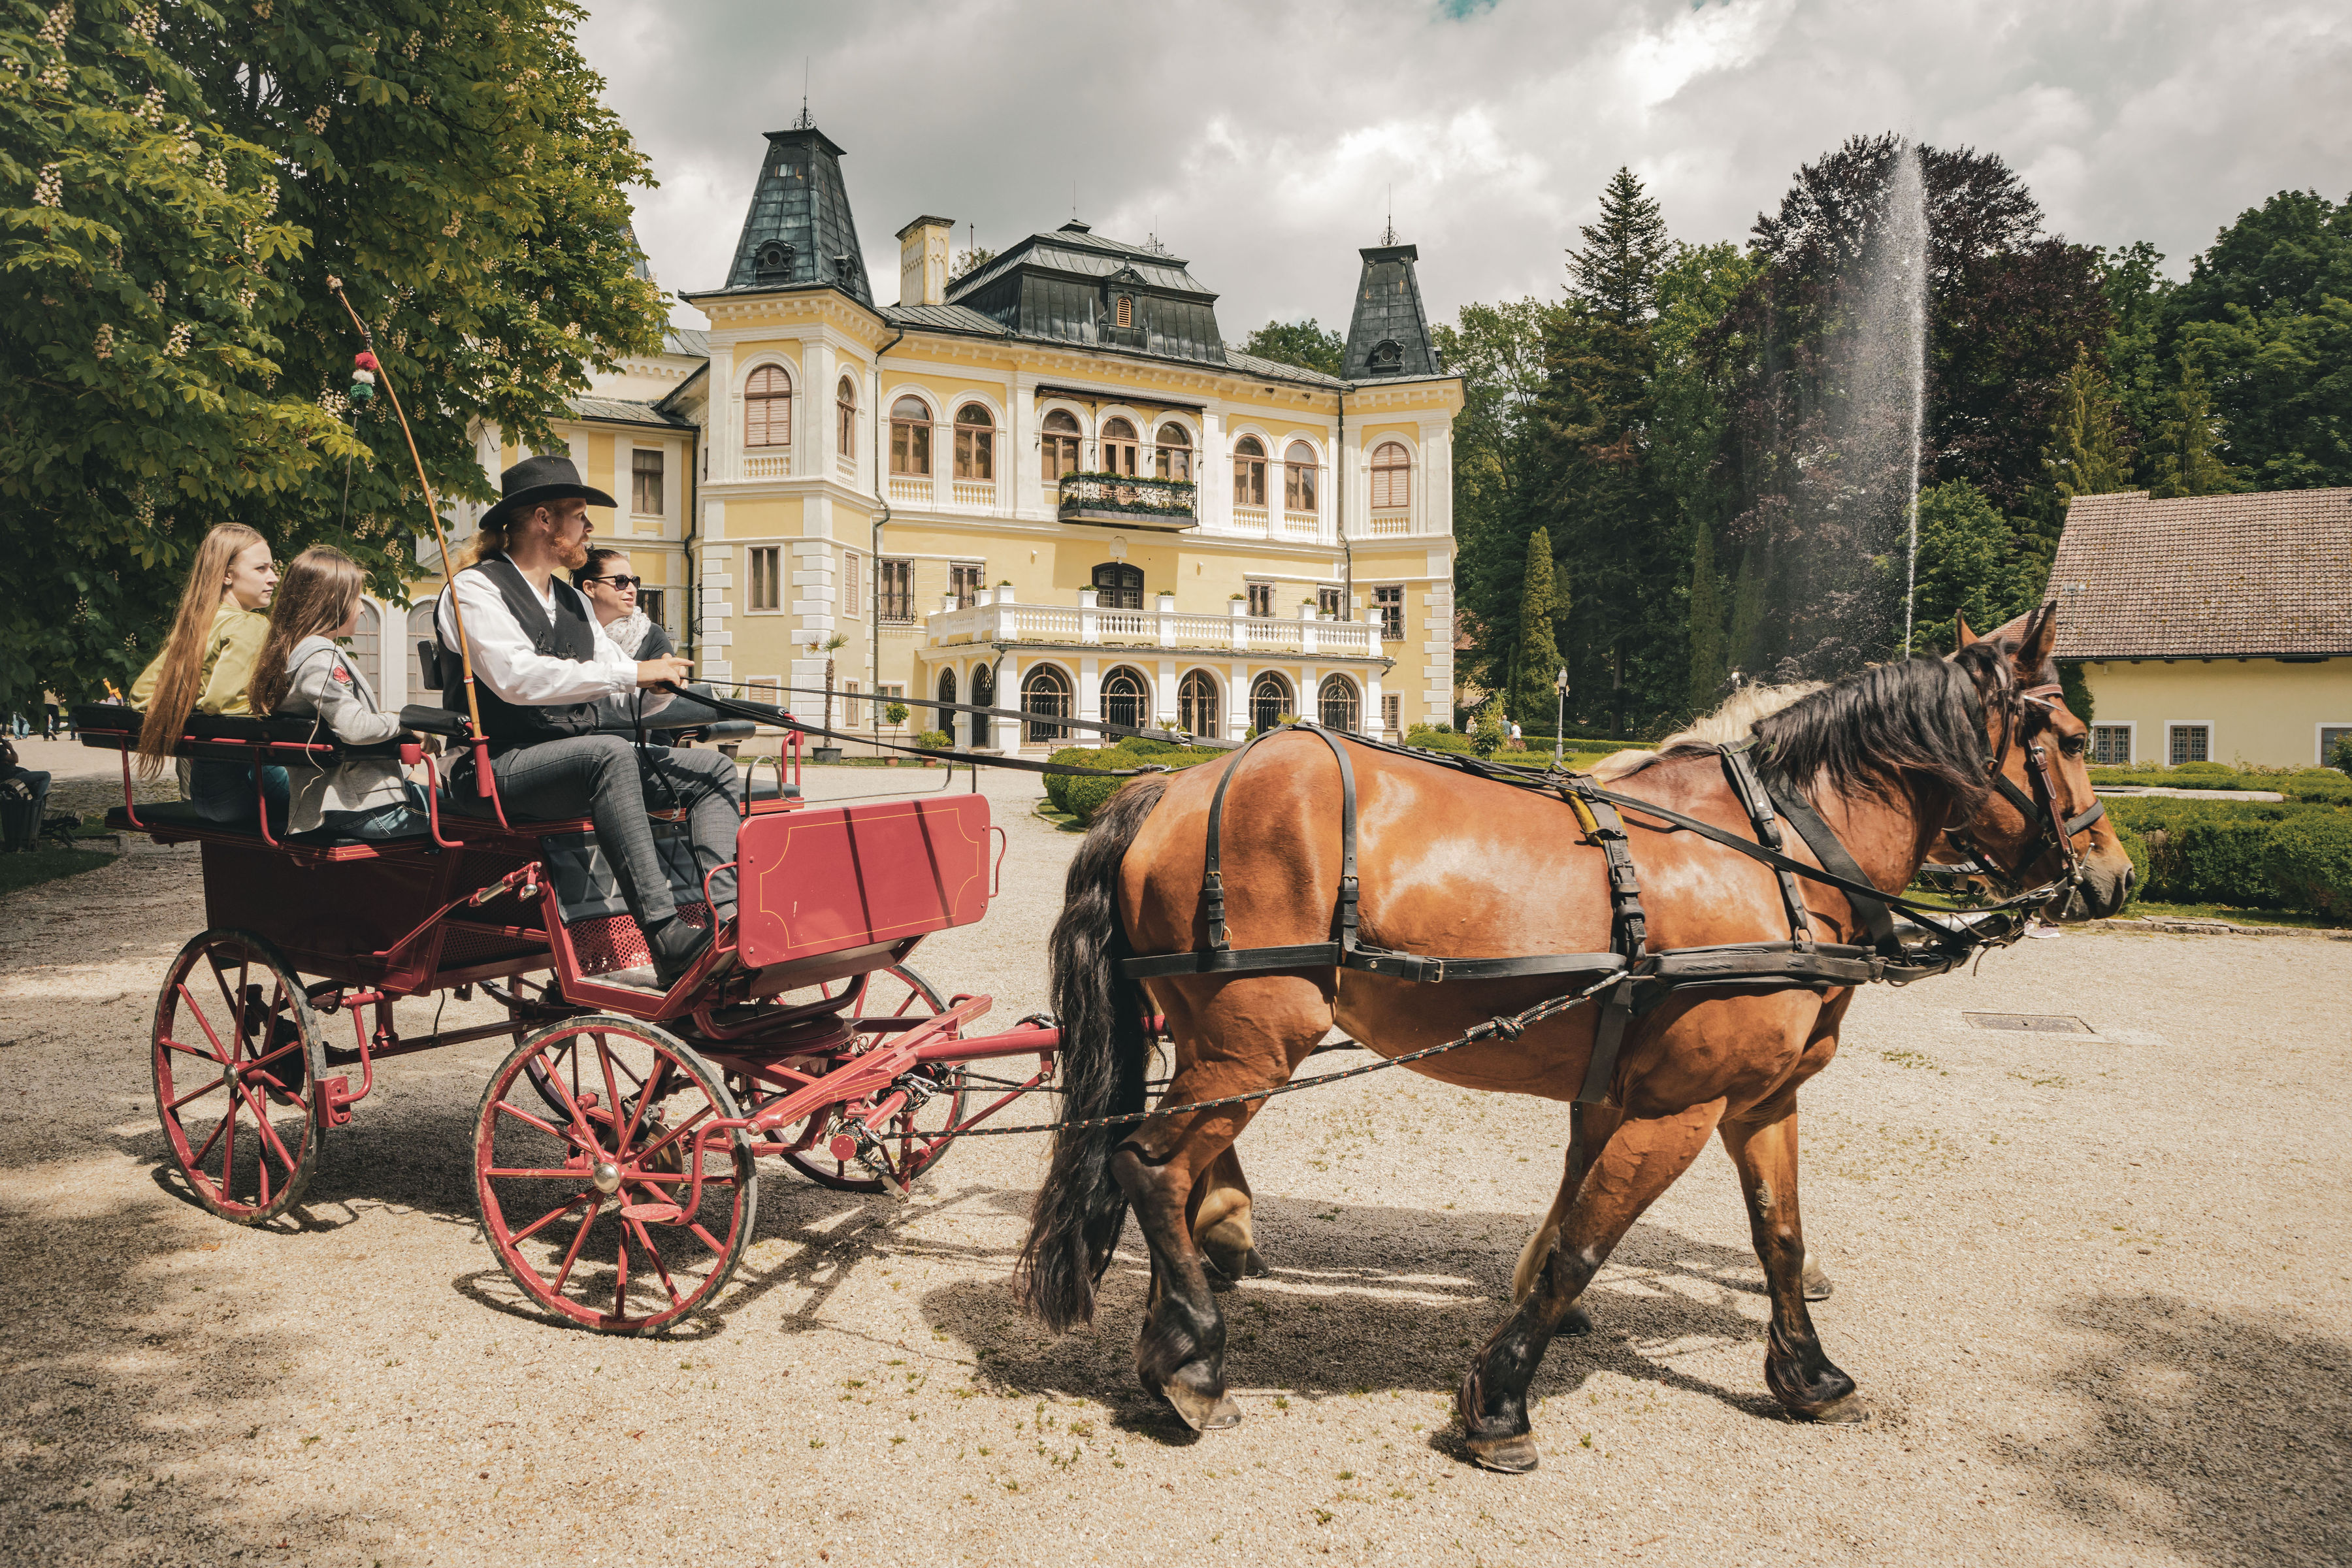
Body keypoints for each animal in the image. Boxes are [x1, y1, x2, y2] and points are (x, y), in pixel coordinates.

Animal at [1011, 606, 2135, 1476]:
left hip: (1224, 1045)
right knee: (1152, 1166)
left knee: (1181, 1174)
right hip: (1254, 1041)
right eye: (2077, 739)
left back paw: (1188, 1317)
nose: (2118, 876)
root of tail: (1175, 782)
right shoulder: (1676, 1107)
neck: (1774, 852)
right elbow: (1581, 1248)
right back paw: (1194, 1358)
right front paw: (1499, 1405)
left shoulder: (1751, 1100)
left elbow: (1773, 1236)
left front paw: (1808, 1372)